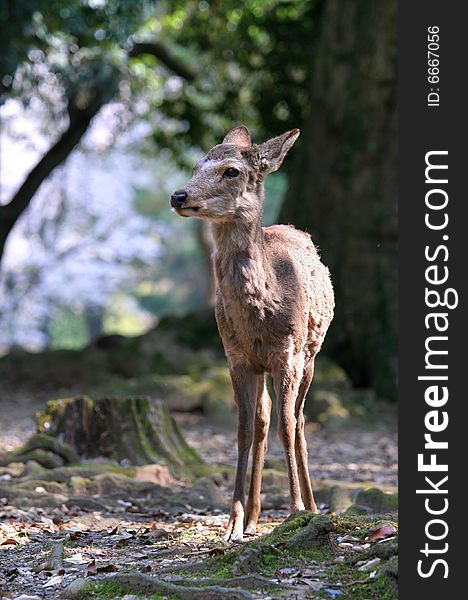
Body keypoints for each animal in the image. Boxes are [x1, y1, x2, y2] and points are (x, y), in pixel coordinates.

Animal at [170, 125, 334, 540]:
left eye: (232, 171)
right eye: (195, 166)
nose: (179, 195)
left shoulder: (287, 354)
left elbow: (287, 426)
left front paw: (295, 511)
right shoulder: (236, 357)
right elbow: (244, 429)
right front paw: (233, 522)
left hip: (311, 355)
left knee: (299, 418)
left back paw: (312, 505)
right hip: (262, 367)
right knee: (263, 419)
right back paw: (256, 516)